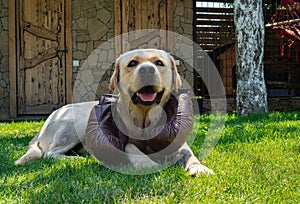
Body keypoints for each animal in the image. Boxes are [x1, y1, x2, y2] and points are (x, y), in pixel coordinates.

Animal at [14, 49, 213, 175]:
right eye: (132, 63)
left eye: (159, 63)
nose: (147, 70)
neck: (145, 117)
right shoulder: (124, 142)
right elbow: (134, 149)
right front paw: (147, 163)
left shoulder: (179, 144)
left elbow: (191, 155)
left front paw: (199, 168)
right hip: (75, 124)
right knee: (50, 154)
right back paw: (79, 159)